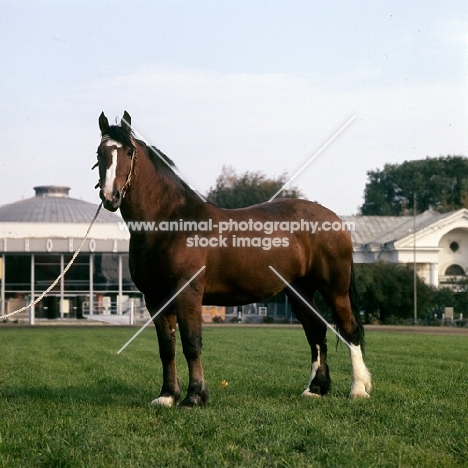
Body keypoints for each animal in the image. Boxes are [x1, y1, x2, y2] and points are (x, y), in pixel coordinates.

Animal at [96, 111, 372, 408]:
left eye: (128, 151)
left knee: (349, 330)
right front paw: (167, 396)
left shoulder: (187, 292)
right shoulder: (155, 298)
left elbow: (191, 343)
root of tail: (334, 219)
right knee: (316, 331)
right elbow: (166, 347)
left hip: (334, 289)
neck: (168, 224)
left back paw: (358, 389)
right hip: (299, 290)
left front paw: (195, 396)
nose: (110, 196)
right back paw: (316, 388)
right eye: (100, 152)